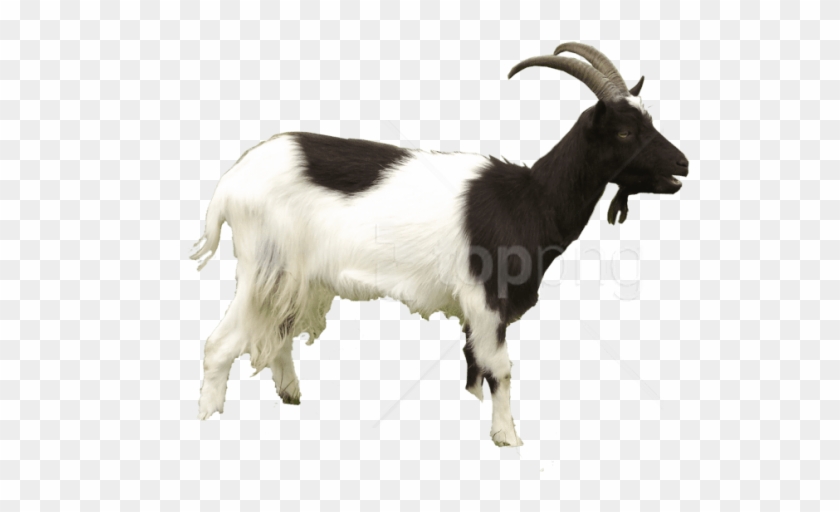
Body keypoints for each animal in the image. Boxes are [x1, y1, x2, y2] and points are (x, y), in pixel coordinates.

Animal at [190, 42, 689, 446]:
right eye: (624, 132)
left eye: (648, 121)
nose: (682, 164)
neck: (530, 199)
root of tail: (229, 184)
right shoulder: (486, 298)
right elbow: (499, 369)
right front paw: (507, 438)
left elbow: (473, 367)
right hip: (266, 265)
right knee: (220, 343)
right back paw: (209, 418)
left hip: (297, 278)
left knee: (277, 335)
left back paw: (291, 395)